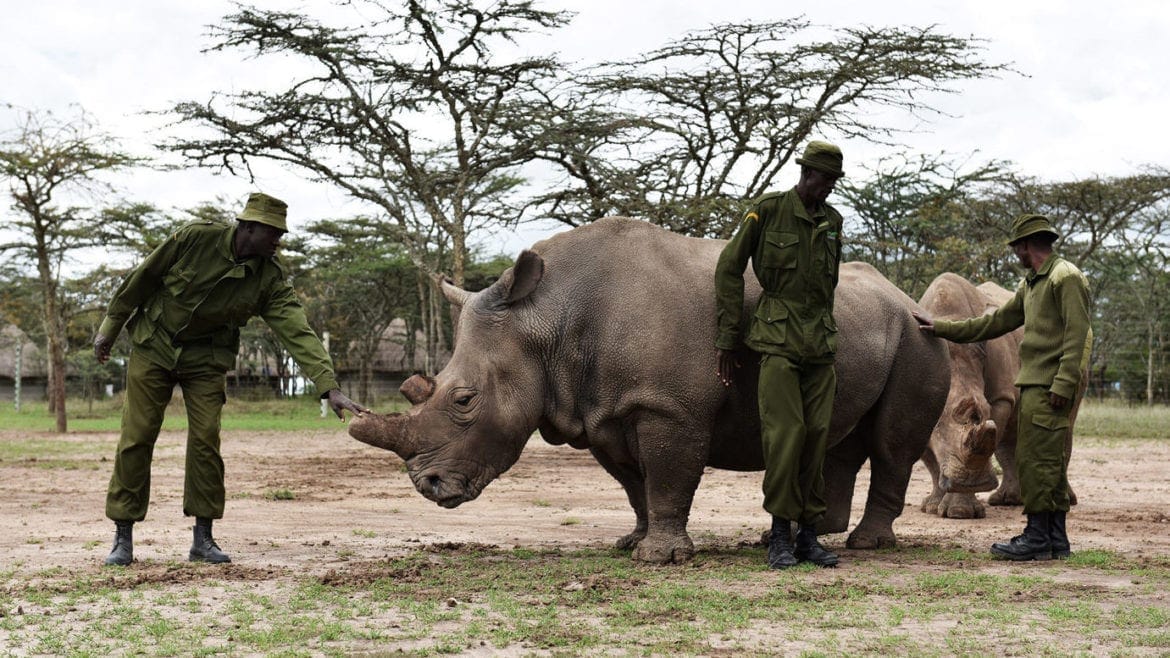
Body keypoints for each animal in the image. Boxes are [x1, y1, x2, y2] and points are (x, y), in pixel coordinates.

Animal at [348, 217, 950, 561]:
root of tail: (909, 297)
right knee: (839, 437)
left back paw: (866, 545)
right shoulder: (601, 412)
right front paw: (632, 543)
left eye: (464, 400)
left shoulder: (668, 407)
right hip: (872, 329)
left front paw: (660, 559)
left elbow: (668, 477)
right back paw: (813, 534)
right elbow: (635, 484)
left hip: (921, 340)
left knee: (892, 445)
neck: (545, 319)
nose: (427, 486)